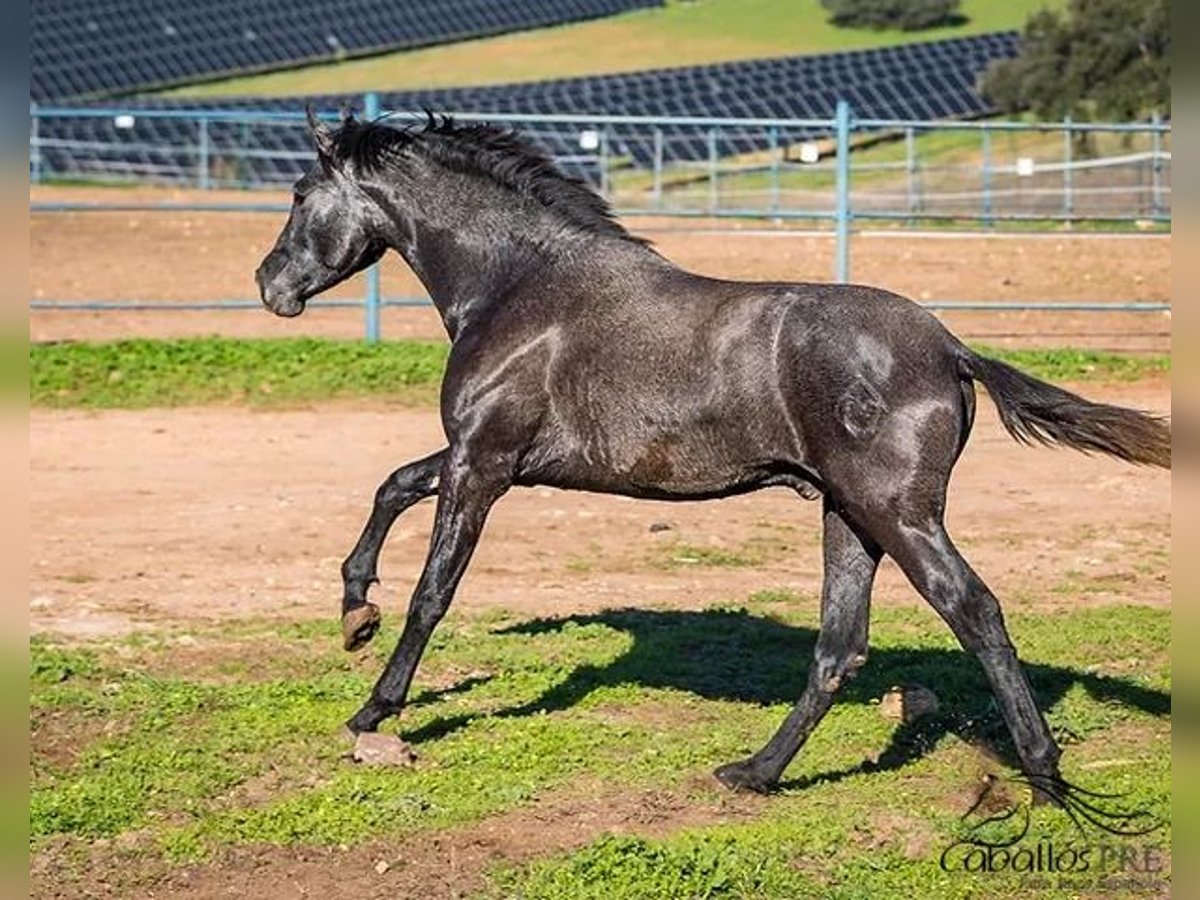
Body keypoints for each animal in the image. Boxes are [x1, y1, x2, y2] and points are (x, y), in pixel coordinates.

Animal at [255, 114, 1171, 801]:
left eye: (298, 195)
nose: (270, 287)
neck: (517, 286)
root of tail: (951, 348)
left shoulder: (484, 463)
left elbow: (433, 593)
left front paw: (373, 708)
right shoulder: (488, 459)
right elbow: (393, 486)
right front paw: (353, 612)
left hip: (898, 515)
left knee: (973, 610)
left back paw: (1045, 777)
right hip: (848, 515)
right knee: (840, 646)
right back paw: (754, 772)